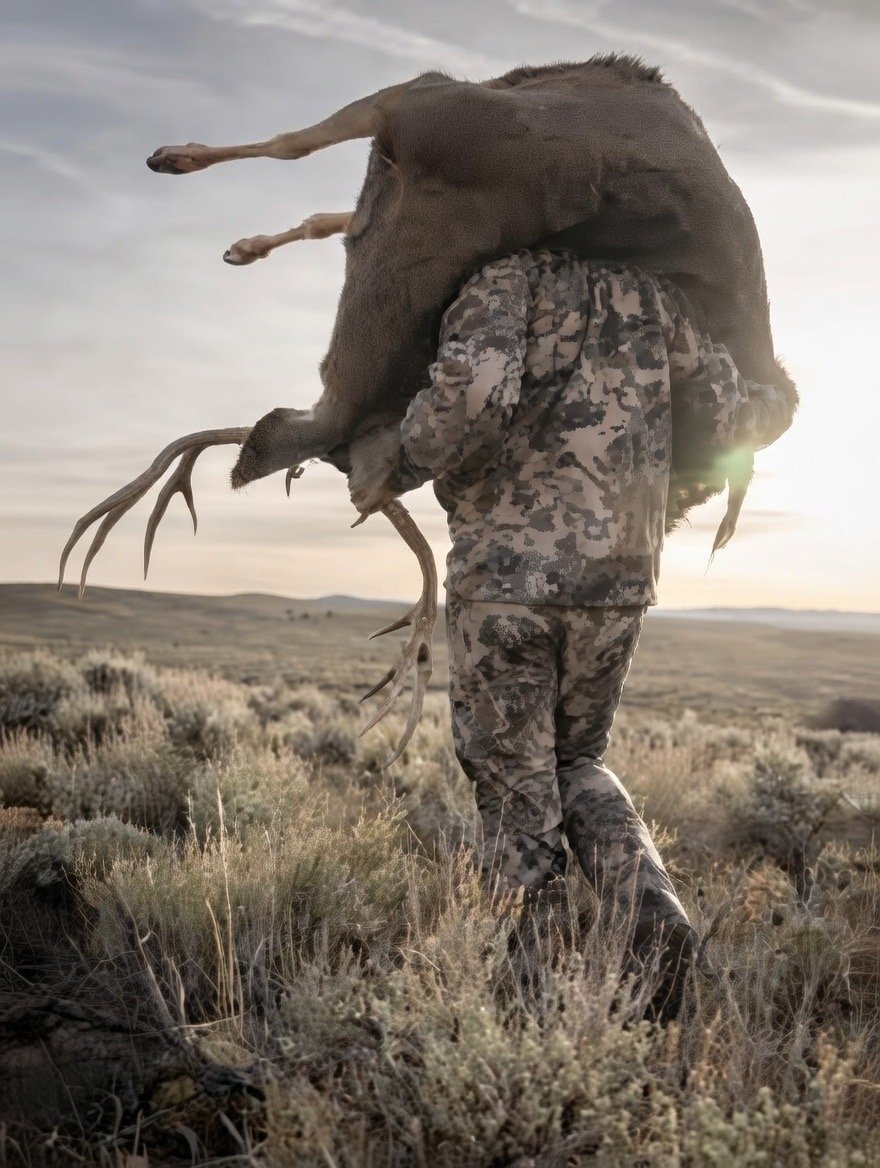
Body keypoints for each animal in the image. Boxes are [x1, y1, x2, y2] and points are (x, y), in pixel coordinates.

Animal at [58, 55, 797, 764]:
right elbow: (316, 187)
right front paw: (242, 233)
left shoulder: (420, 117)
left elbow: (313, 171)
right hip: (420, 121)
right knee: (313, 169)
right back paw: (201, 189)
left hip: (419, 125)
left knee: (311, 167)